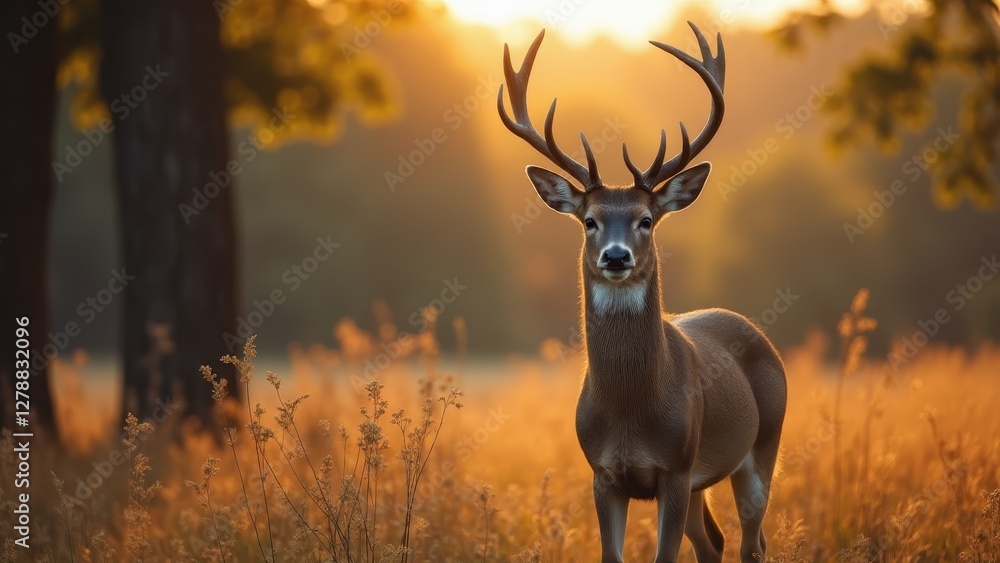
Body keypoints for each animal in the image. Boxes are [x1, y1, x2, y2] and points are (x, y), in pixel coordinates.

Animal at [497, 23, 787, 563]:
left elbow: (664, 555)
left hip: (762, 445)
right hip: (701, 481)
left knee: (752, 542)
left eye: (646, 219)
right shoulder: (603, 473)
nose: (616, 257)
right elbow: (612, 554)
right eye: (589, 221)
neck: (631, 411)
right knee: (714, 542)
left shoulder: (675, 467)